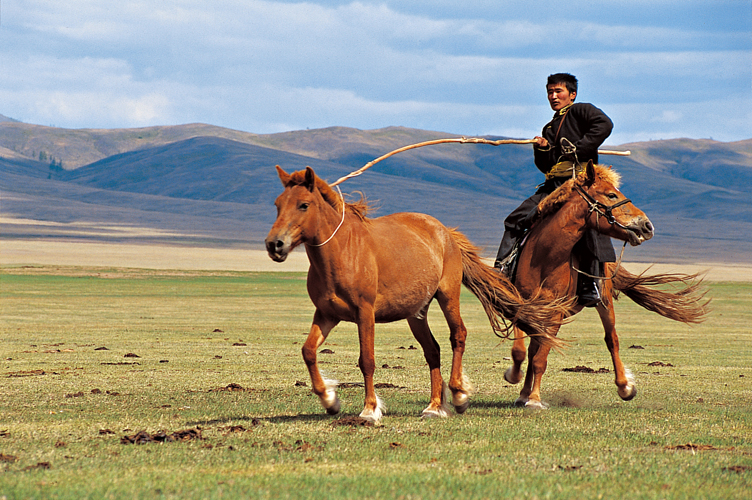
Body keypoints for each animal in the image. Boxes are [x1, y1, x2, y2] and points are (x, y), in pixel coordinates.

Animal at [268, 165, 568, 422]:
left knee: (458, 336)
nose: (274, 244)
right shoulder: (327, 314)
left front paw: (370, 410)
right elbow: (308, 351)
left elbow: (367, 360)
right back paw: (434, 406)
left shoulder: (364, 313)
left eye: (303, 204)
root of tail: (445, 232)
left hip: (448, 297)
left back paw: (458, 395)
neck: (343, 251)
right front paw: (330, 400)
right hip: (417, 312)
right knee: (432, 350)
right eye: (277, 204)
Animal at [502, 162, 708, 408]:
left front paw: (534, 400)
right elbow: (521, 351)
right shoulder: (522, 306)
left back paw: (624, 387)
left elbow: (540, 357)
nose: (647, 226)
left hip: (604, 302)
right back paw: (523, 393)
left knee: (612, 340)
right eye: (611, 195)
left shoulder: (556, 314)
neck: (544, 257)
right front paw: (516, 380)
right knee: (533, 347)